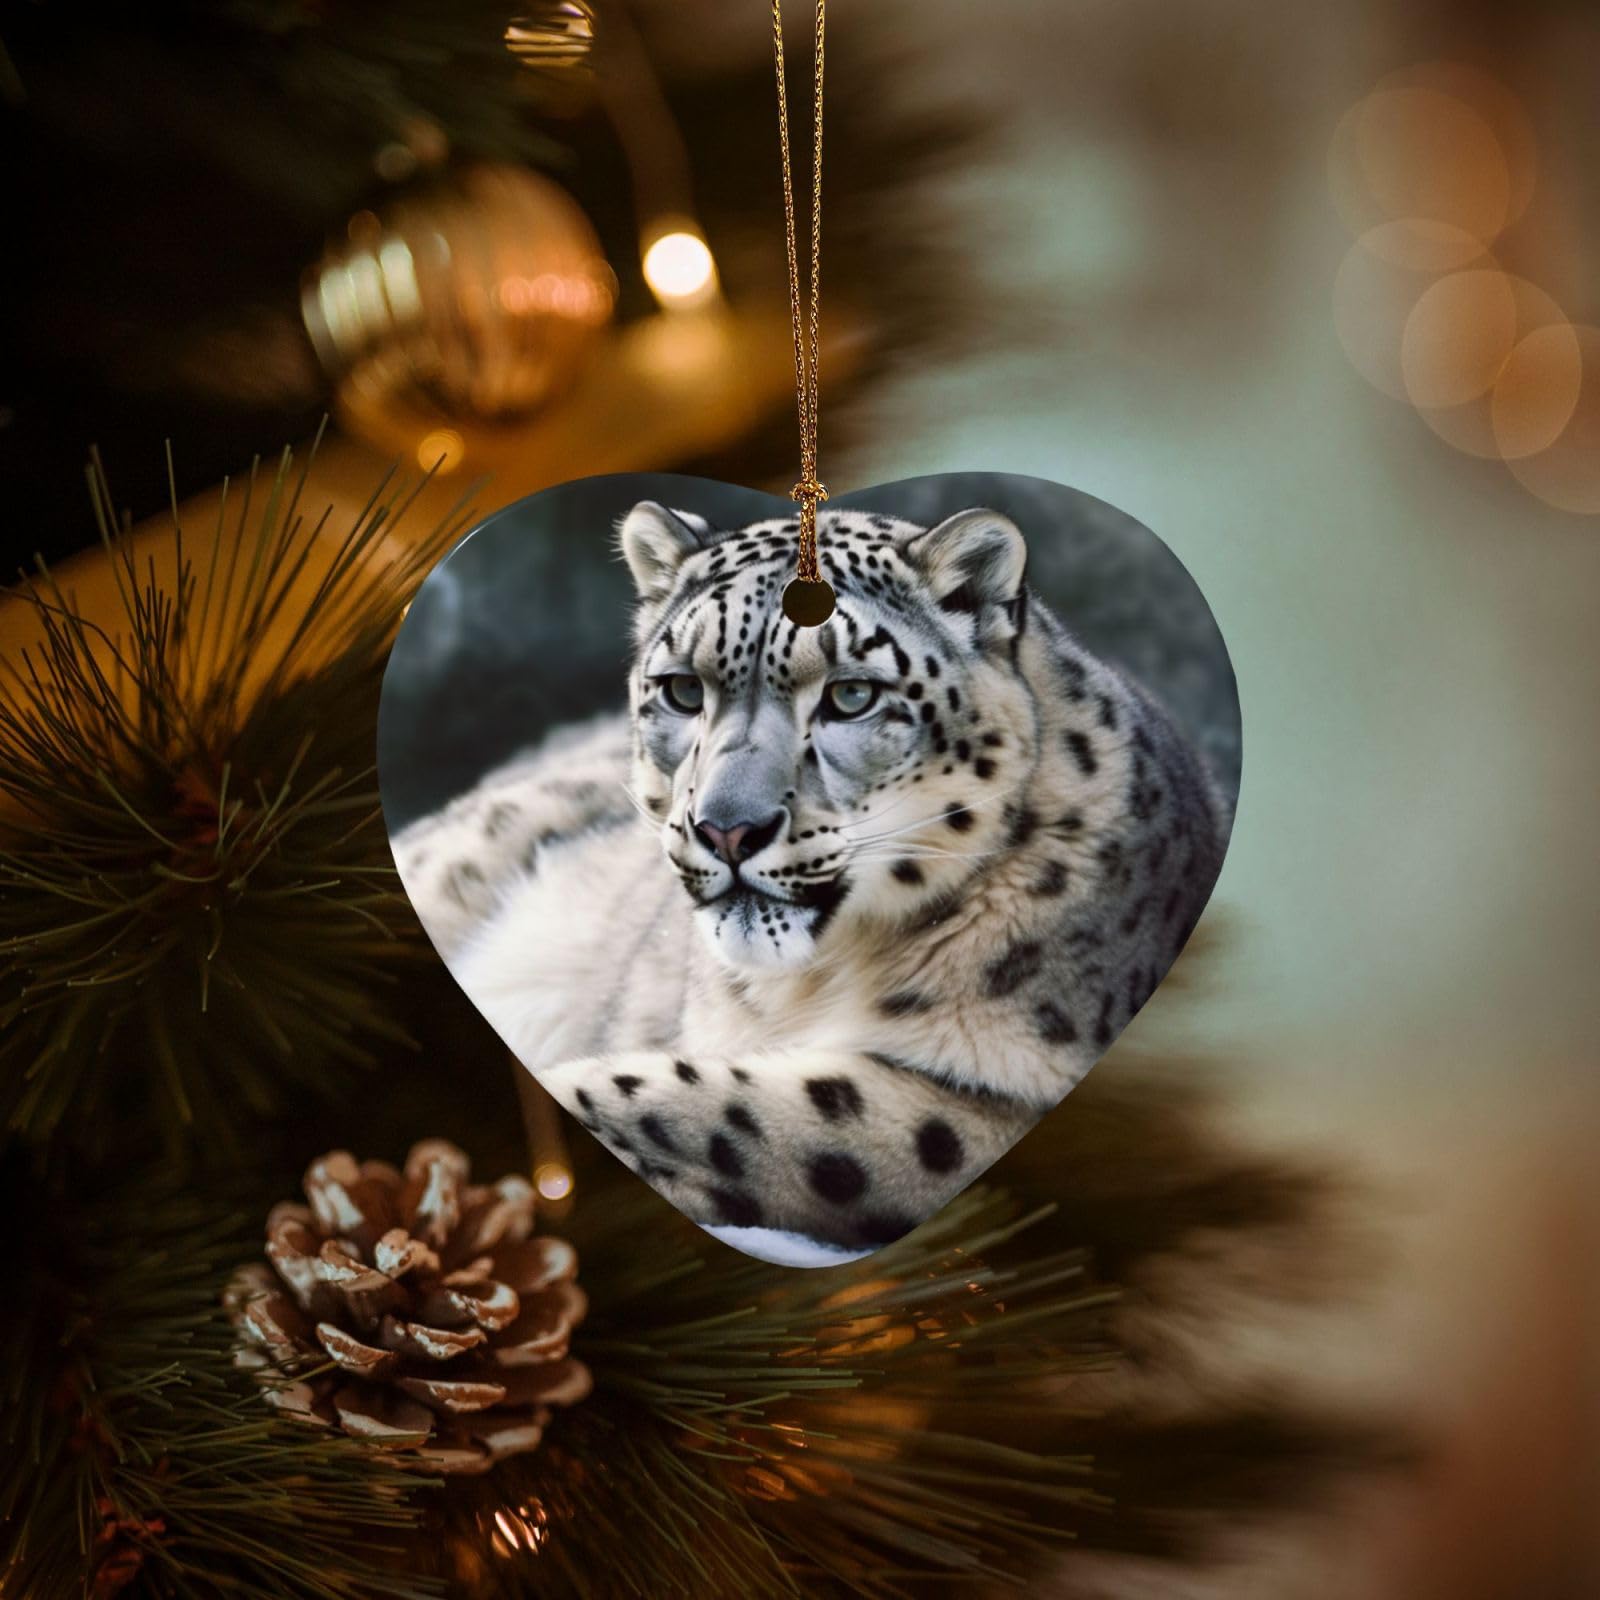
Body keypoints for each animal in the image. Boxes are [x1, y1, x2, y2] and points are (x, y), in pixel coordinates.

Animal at [392, 500, 1230, 1265]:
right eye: (682, 690)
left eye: (852, 695)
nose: (727, 829)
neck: (811, 984)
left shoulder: (983, 1106)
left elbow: (724, 1111)